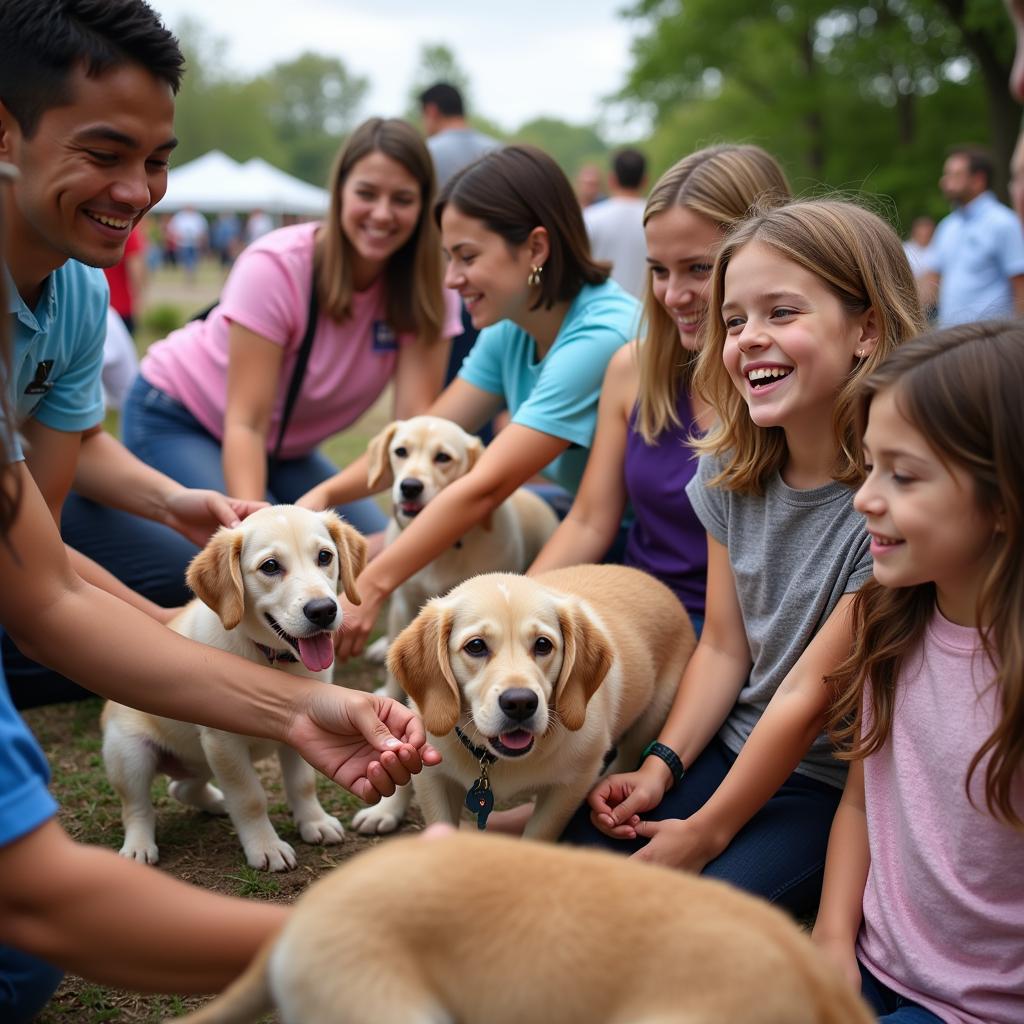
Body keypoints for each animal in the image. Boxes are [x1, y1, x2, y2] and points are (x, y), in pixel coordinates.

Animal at [99, 503, 370, 872]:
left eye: (325, 556)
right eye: (270, 566)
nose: (323, 611)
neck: (271, 659)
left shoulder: (298, 729)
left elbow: (302, 784)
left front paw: (314, 822)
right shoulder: (224, 743)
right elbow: (250, 797)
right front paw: (265, 846)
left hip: (197, 759)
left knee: (180, 789)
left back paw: (216, 802)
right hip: (130, 755)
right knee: (137, 807)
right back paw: (139, 846)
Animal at [352, 561, 696, 839]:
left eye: (543, 645)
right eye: (476, 646)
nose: (520, 703)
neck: (493, 760)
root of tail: (652, 579)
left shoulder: (569, 787)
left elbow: (538, 835)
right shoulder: (434, 779)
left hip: (653, 715)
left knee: (627, 755)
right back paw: (384, 810)